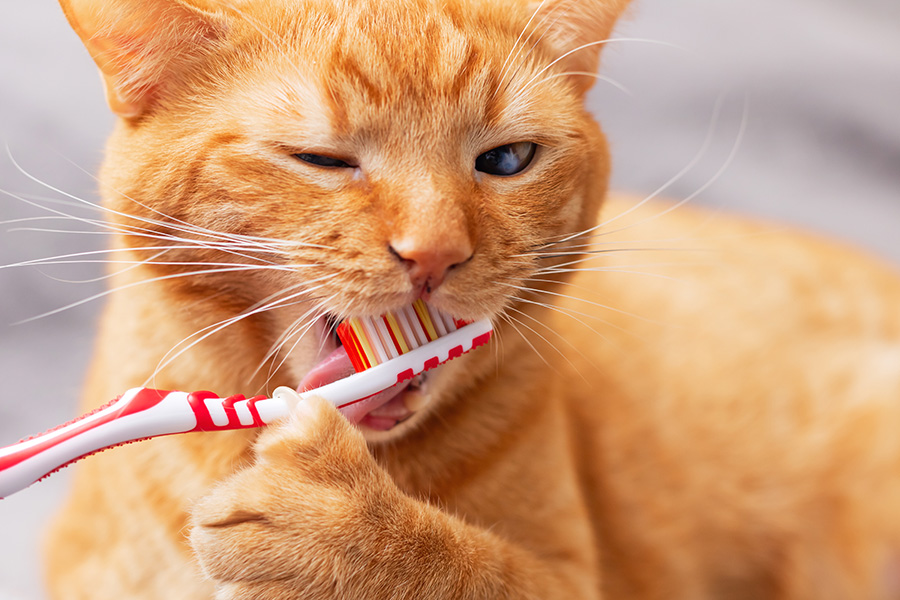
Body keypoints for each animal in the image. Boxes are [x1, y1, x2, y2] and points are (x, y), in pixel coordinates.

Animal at [44, 1, 900, 600]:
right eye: (323, 160)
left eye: (508, 160)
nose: (434, 252)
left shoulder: (578, 580)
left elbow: (466, 566)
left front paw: (339, 528)